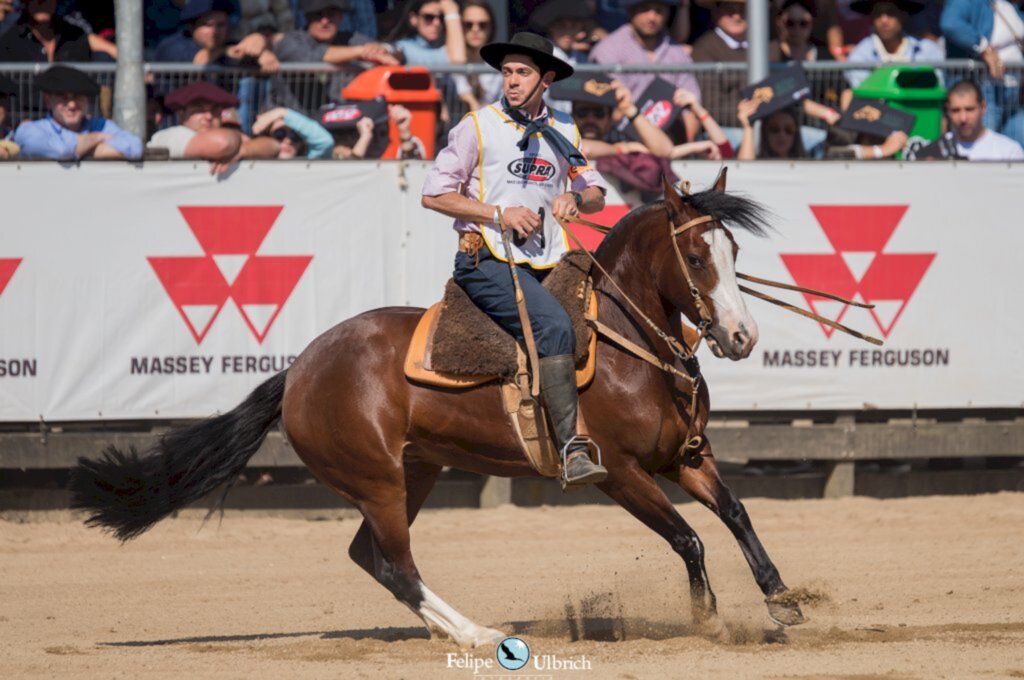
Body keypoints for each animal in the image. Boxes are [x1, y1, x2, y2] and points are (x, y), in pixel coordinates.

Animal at [72, 168, 806, 647]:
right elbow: (688, 537)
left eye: (734, 250)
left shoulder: (687, 456)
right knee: (396, 565)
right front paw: (709, 620)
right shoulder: (621, 474)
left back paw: (455, 632)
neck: (629, 346)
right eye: (695, 256)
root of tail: (298, 371)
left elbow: (735, 514)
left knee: (370, 558)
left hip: (413, 471)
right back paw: (479, 635)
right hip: (376, 480)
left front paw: (782, 598)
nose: (743, 337)